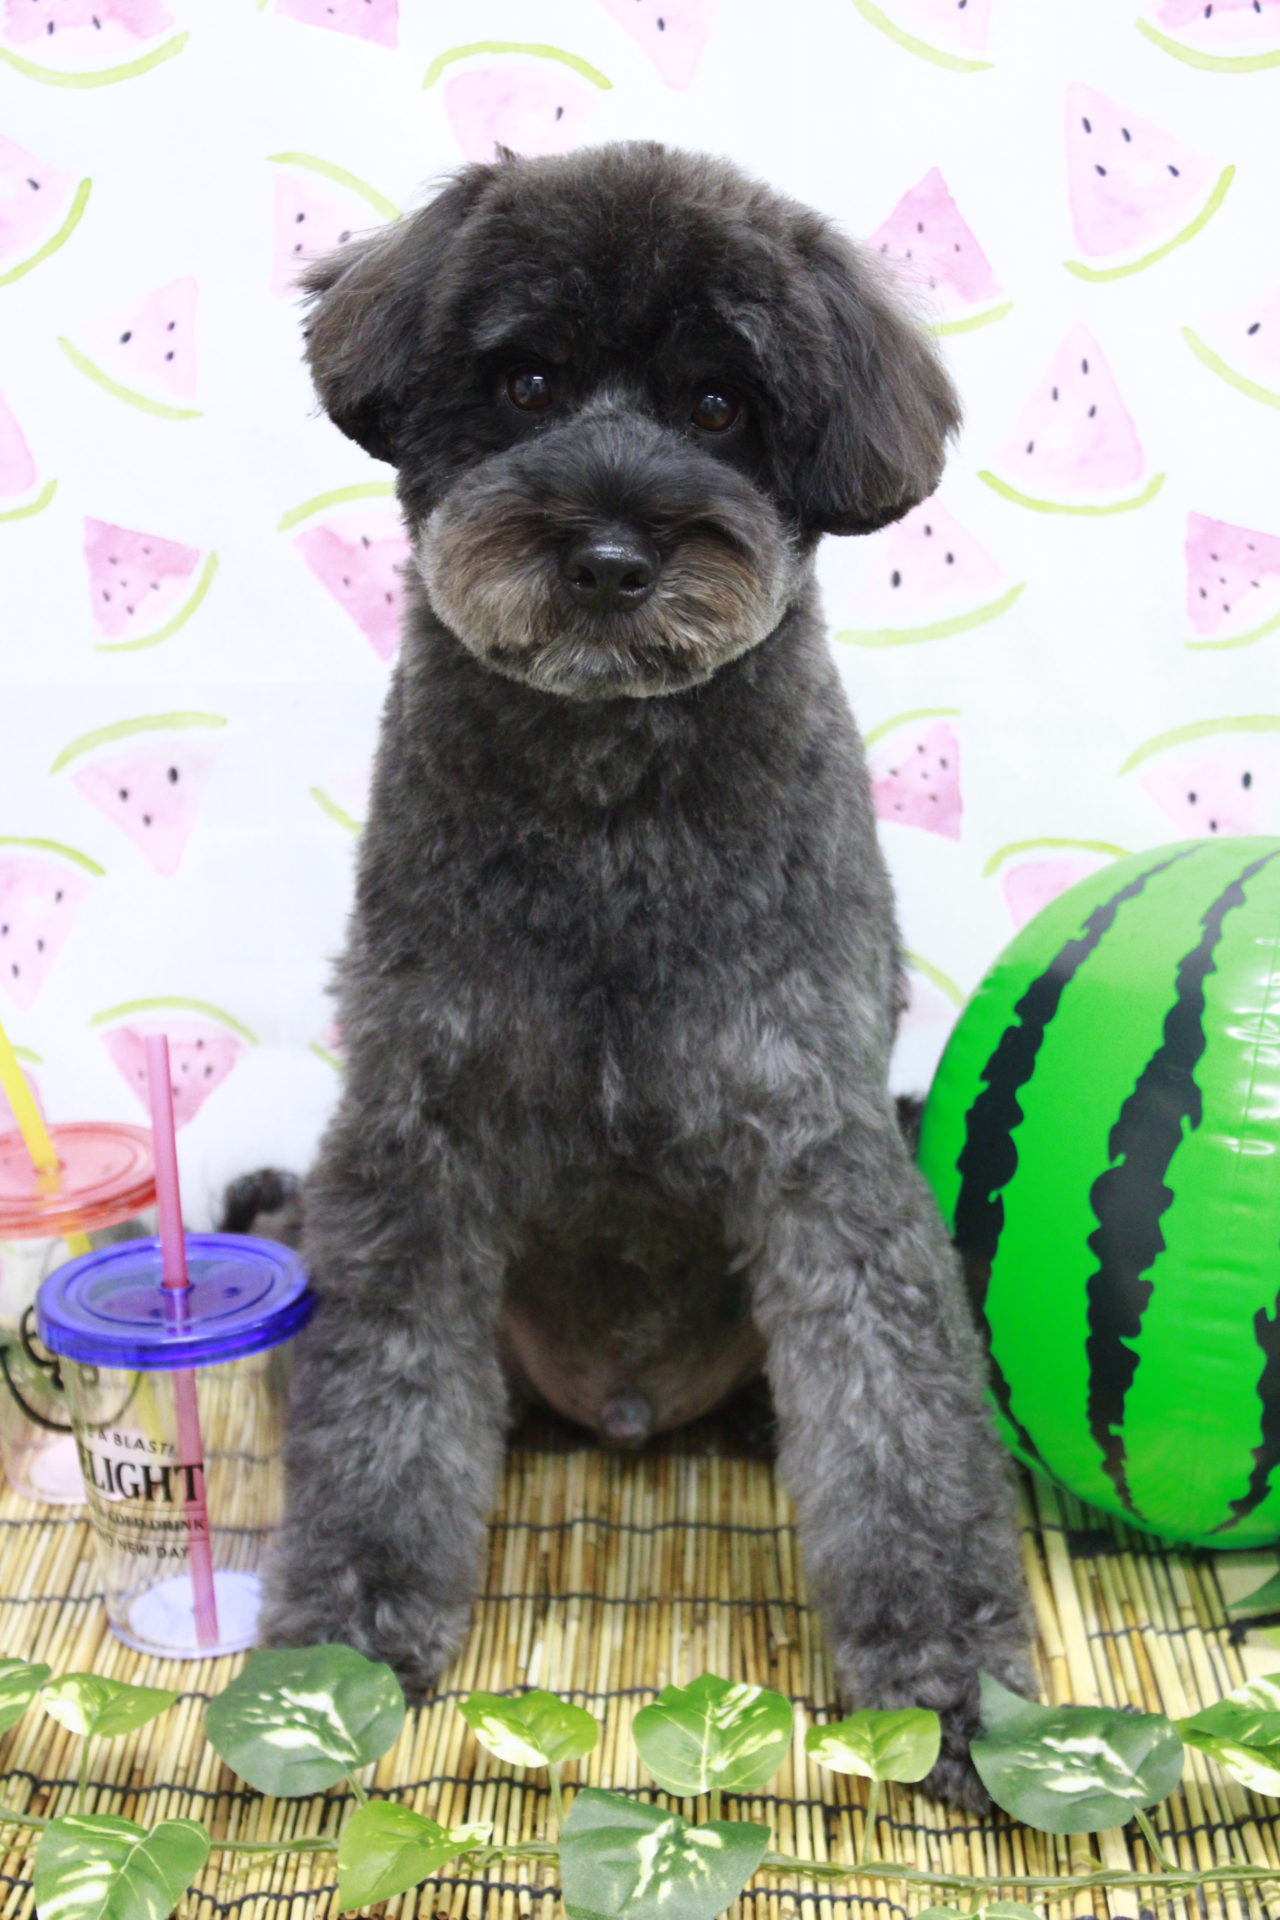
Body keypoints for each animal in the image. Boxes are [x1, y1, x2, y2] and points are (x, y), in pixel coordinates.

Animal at [249, 141, 1032, 1810]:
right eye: (527, 380)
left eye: (722, 405)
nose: (609, 558)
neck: (608, 788)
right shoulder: (413, 1138)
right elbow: (381, 1410)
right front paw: (336, 1651)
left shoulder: (821, 1142)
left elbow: (899, 1418)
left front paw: (947, 1690)